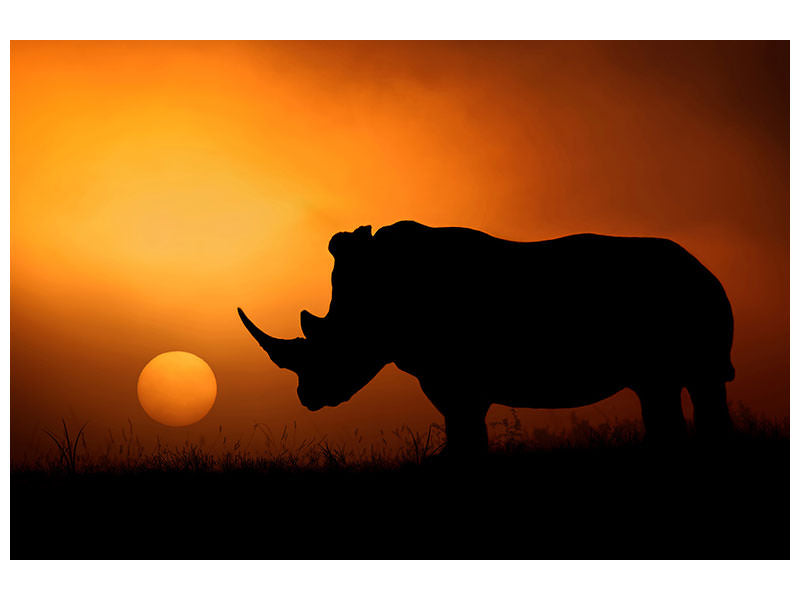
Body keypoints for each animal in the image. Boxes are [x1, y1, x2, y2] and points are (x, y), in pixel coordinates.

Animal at [238, 220, 734, 457]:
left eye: (331, 346)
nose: (308, 398)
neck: (375, 303)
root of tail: (705, 267)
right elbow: (465, 429)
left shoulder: (454, 376)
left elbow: (464, 429)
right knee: (662, 388)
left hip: (689, 297)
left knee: (694, 382)